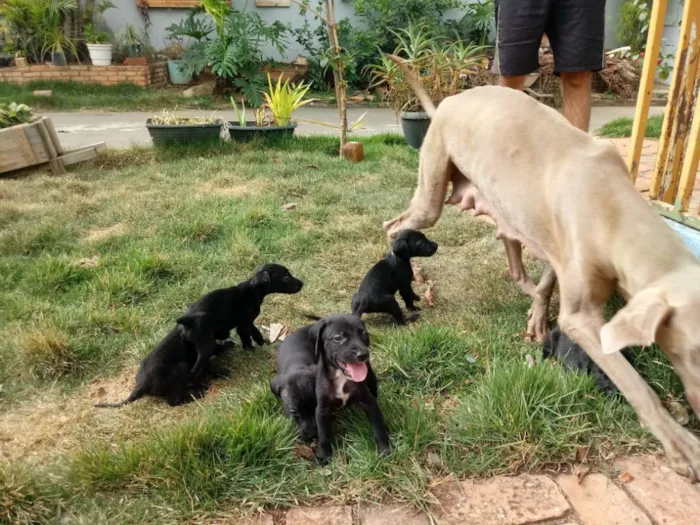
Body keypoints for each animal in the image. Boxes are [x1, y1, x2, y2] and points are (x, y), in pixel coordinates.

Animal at [94, 264, 302, 408]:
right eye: (286, 277)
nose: (302, 283)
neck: (252, 289)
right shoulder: (242, 324)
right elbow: (247, 336)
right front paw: (252, 350)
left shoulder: (245, 322)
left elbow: (253, 330)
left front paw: (259, 341)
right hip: (192, 357)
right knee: (183, 386)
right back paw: (197, 391)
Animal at [270, 314, 392, 460]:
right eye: (338, 338)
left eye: (364, 334)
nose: (363, 354)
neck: (342, 377)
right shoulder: (322, 409)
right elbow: (324, 435)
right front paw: (323, 456)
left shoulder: (368, 401)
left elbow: (377, 425)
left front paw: (384, 449)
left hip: (371, 378)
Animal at [386, 54, 700, 478]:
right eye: (698, 353)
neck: (618, 210)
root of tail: (449, 100)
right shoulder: (581, 317)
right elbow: (634, 383)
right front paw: (681, 445)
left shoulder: (558, 249)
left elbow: (548, 282)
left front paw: (537, 317)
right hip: (430, 195)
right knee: (394, 227)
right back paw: (409, 269)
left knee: (513, 258)